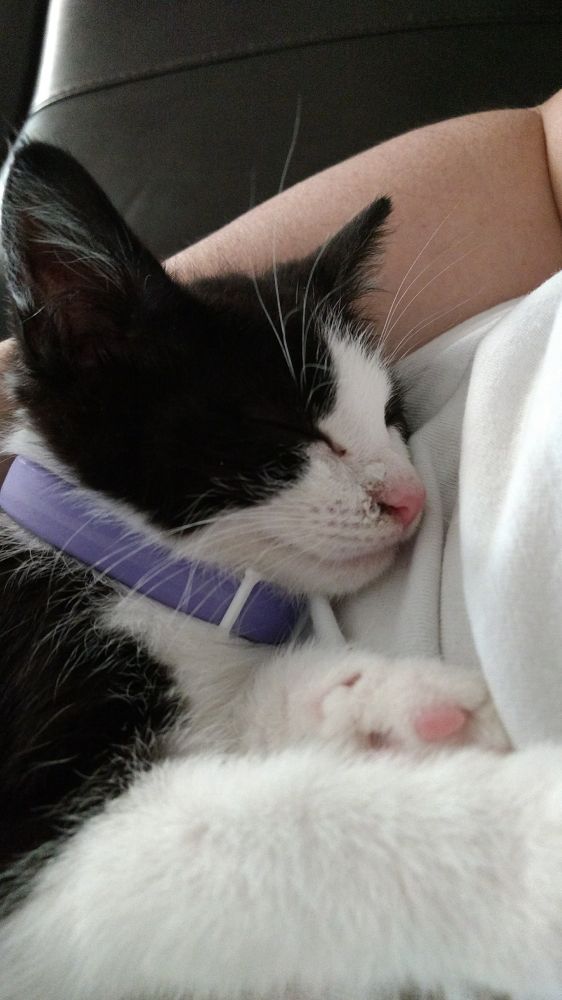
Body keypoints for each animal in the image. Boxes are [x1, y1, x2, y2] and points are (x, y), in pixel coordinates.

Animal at [0, 141, 561, 1000]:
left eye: (391, 417)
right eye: (285, 427)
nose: (409, 499)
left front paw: (388, 703)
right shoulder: (33, 842)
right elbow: (244, 832)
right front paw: (526, 838)